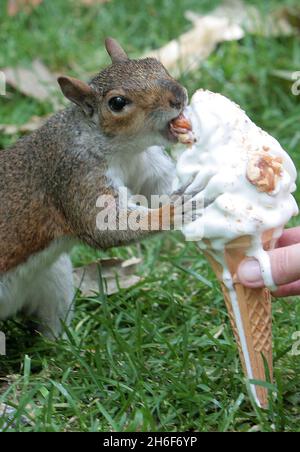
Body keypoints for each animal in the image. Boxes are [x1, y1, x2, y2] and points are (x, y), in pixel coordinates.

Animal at [0, 38, 196, 338]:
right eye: (117, 103)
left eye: (156, 63)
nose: (179, 96)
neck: (124, 150)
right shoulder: (75, 175)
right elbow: (105, 225)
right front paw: (172, 213)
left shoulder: (147, 165)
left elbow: (162, 190)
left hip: (52, 280)